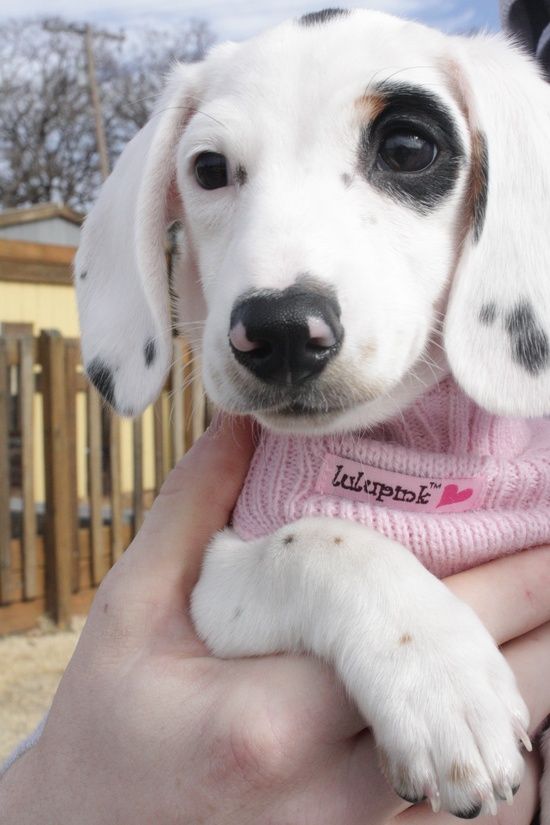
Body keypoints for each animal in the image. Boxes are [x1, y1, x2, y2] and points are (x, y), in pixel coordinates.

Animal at [74, 8, 550, 824]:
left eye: (408, 147)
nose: (280, 332)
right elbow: (323, 540)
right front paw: (440, 675)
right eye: (208, 169)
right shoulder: (219, 589)